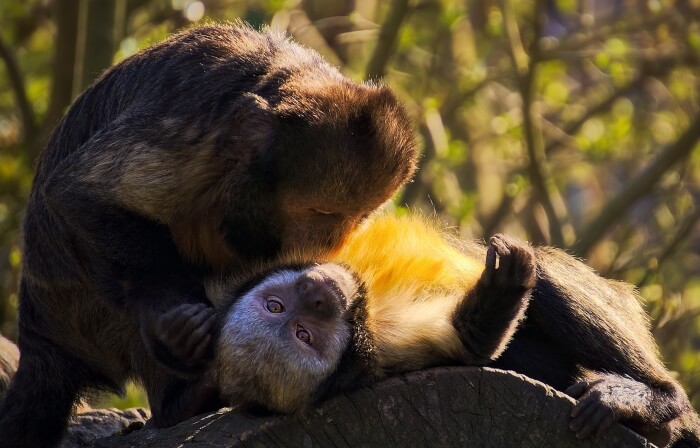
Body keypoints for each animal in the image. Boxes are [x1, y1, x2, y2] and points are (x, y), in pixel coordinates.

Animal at [0, 23, 418, 448]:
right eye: (323, 213)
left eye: (357, 218)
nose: (331, 241)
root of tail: (39, 329)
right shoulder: (197, 126)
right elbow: (79, 194)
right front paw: (169, 325)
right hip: (80, 308)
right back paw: (176, 400)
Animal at [199, 214, 699, 448]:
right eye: (303, 334)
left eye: (278, 307)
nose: (318, 294)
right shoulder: (379, 351)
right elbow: (468, 343)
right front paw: (501, 289)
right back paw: (660, 401)